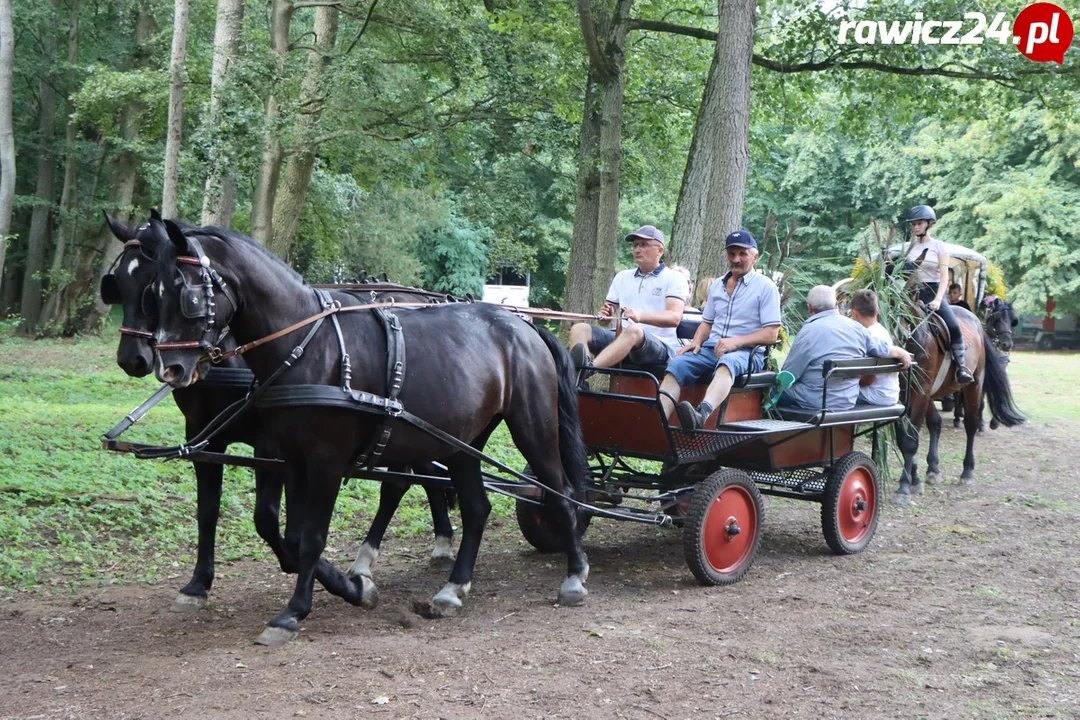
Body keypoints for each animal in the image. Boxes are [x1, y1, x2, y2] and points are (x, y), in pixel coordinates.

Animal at [99, 215, 457, 613]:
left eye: (153, 289)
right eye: (119, 285)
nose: (134, 359)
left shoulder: (270, 444)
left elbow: (269, 520)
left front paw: (312, 571)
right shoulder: (203, 436)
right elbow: (208, 510)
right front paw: (197, 584)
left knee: (403, 482)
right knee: (420, 477)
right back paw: (432, 545)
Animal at [145, 216, 591, 643]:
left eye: (186, 296)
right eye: (155, 293)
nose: (170, 369)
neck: (309, 344)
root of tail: (525, 326)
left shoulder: (325, 461)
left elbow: (311, 538)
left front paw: (294, 613)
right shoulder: (291, 459)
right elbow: (291, 535)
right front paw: (354, 589)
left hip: (533, 428)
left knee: (561, 493)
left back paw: (574, 574)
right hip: (463, 442)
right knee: (478, 508)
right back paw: (453, 588)